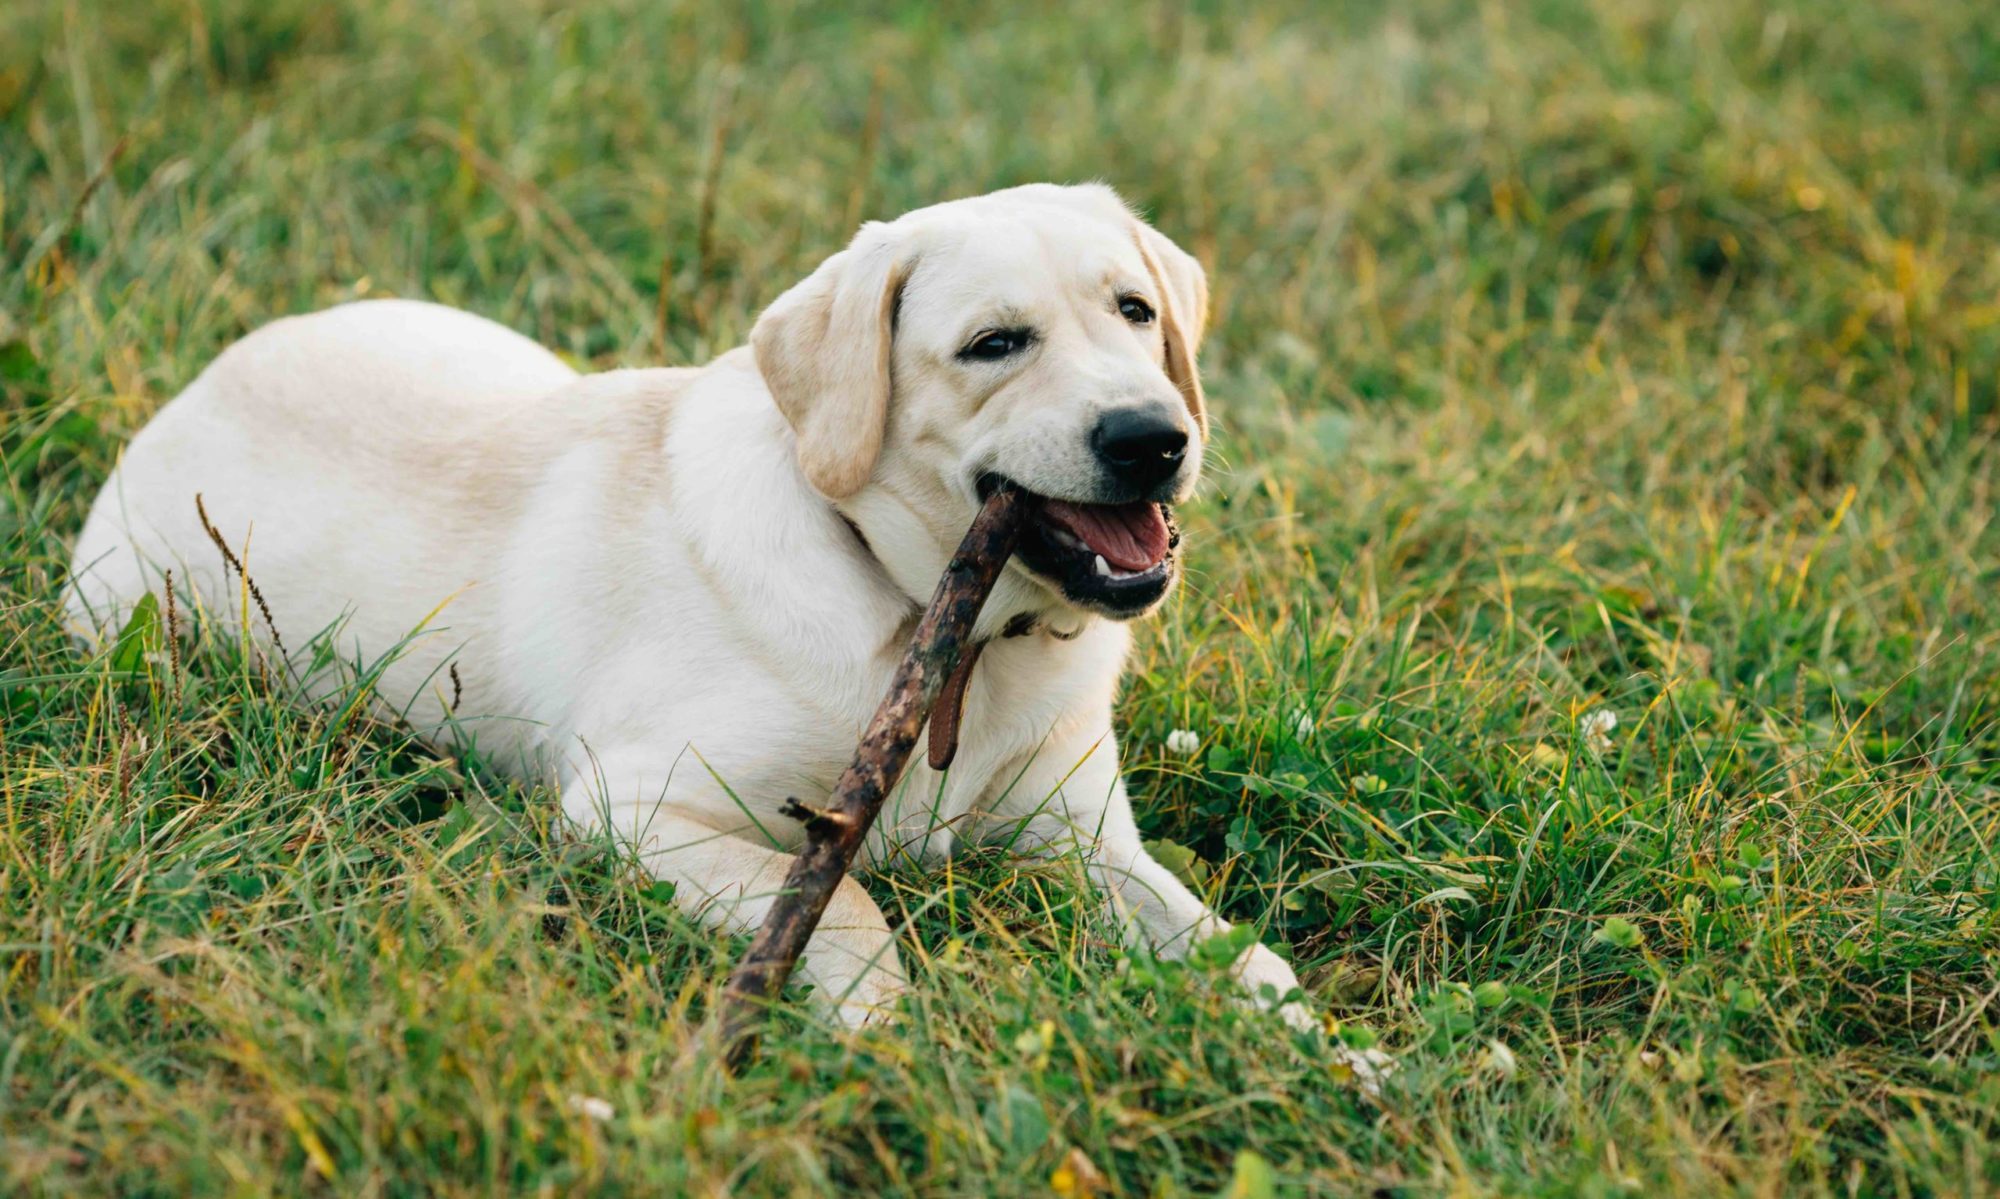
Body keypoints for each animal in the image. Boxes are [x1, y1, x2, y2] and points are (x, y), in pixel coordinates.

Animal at [62, 182, 1320, 1031]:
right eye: (992, 344)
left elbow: (1235, 952)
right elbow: (848, 906)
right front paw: (877, 1033)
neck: (936, 627)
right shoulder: (631, 804)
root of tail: (203, 376)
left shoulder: (1084, 840)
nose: (1153, 437)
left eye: (1134, 312)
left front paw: (1328, 1056)